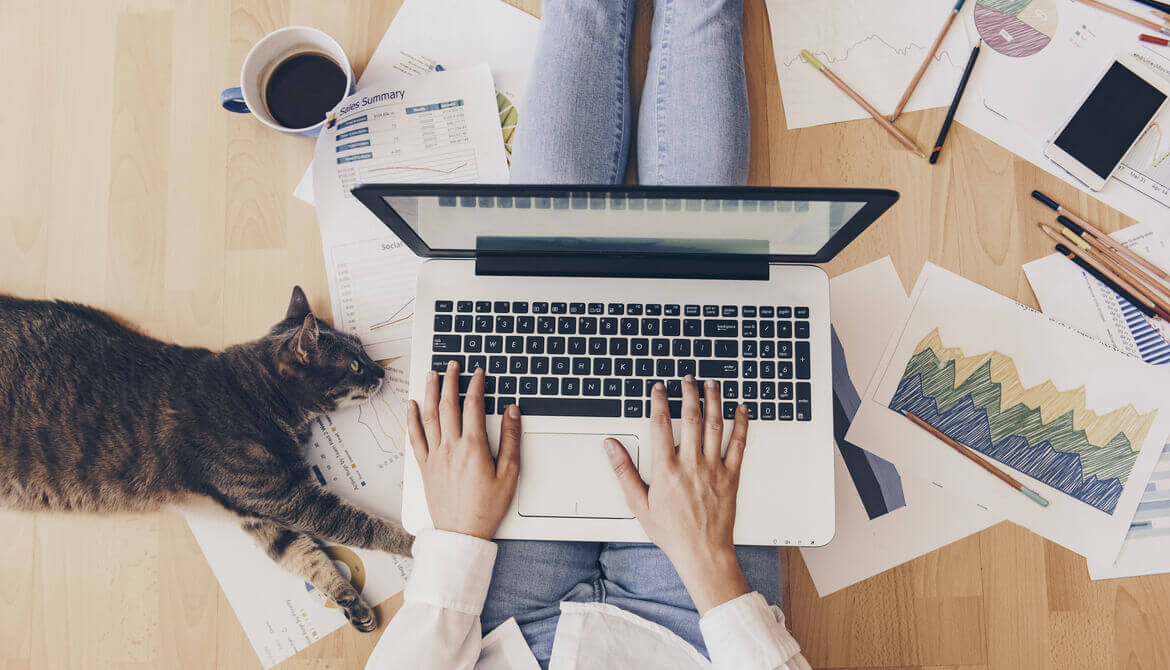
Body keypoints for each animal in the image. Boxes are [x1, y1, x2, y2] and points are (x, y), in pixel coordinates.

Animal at [0, 288, 411, 631]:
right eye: (355, 365)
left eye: (365, 352)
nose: (381, 370)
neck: (256, 394)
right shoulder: (291, 500)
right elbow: (363, 527)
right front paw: (413, 543)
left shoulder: (262, 514)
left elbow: (306, 558)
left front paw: (349, 600)